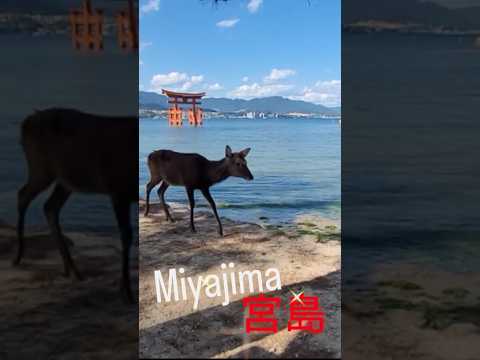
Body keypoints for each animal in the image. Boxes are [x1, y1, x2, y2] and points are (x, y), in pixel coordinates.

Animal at [13, 107, 137, 304]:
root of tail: (26, 122)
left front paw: (123, 288)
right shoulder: (117, 190)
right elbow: (126, 236)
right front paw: (127, 292)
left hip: (65, 180)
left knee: (49, 206)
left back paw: (71, 269)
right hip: (41, 167)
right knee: (23, 195)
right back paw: (19, 256)